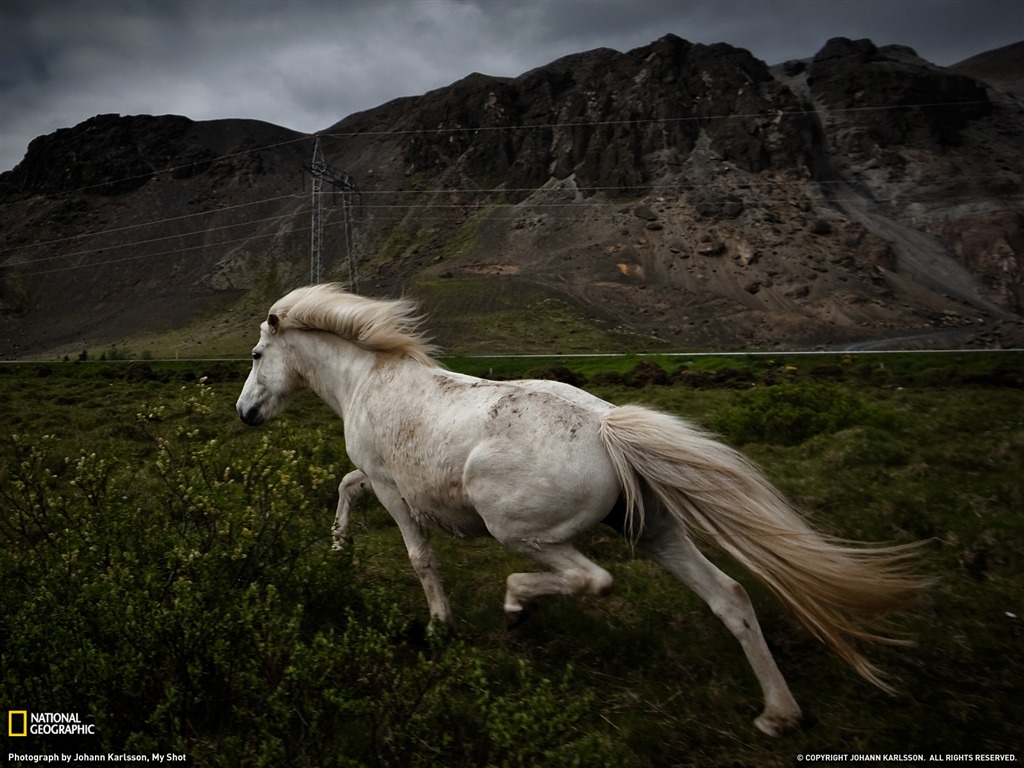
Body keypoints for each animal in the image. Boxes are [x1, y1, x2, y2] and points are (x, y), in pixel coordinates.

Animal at [237, 284, 929, 741]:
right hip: (654, 532)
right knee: (730, 596)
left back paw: (517, 607)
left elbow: (417, 554)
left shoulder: (392, 487)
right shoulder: (383, 483)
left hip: (520, 530)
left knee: (590, 579)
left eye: (255, 356)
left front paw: (438, 626)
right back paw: (778, 714)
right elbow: (345, 489)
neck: (369, 379)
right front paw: (336, 552)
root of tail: (607, 427)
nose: (244, 414)